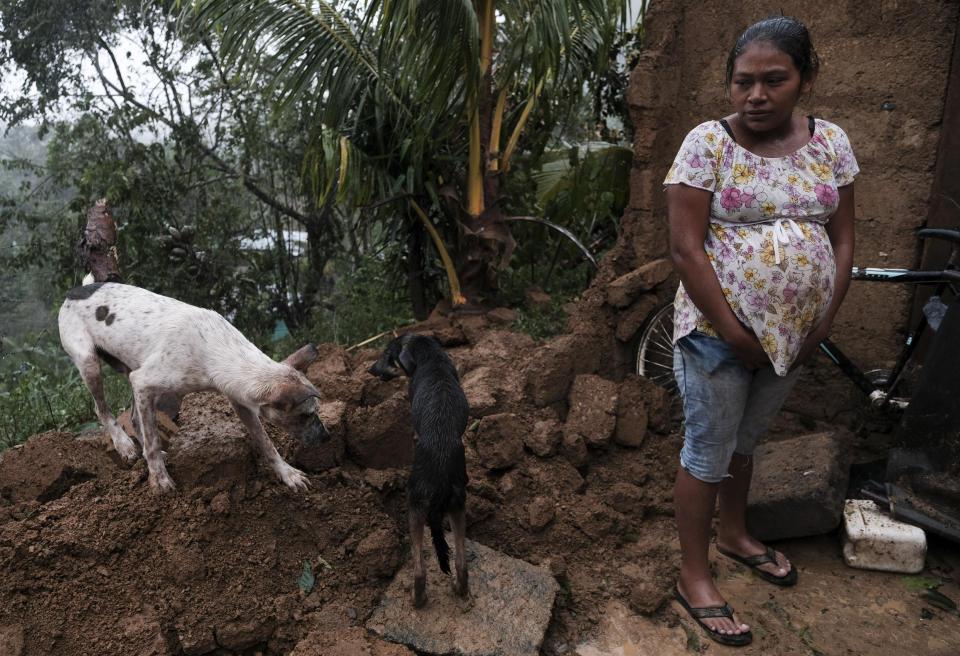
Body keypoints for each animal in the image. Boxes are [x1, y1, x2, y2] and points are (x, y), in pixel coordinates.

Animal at [61, 282, 330, 492]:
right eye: (306, 415)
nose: (327, 437)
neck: (214, 349)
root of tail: (75, 290)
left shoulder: (239, 400)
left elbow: (266, 442)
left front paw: (287, 474)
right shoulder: (143, 380)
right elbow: (152, 441)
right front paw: (159, 480)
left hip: (133, 373)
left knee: (136, 418)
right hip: (90, 364)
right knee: (103, 410)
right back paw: (124, 445)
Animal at [368, 336, 468, 608]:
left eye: (387, 355)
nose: (369, 370)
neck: (430, 357)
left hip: (415, 505)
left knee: (420, 570)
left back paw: (417, 599)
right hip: (457, 504)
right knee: (461, 564)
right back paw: (459, 588)